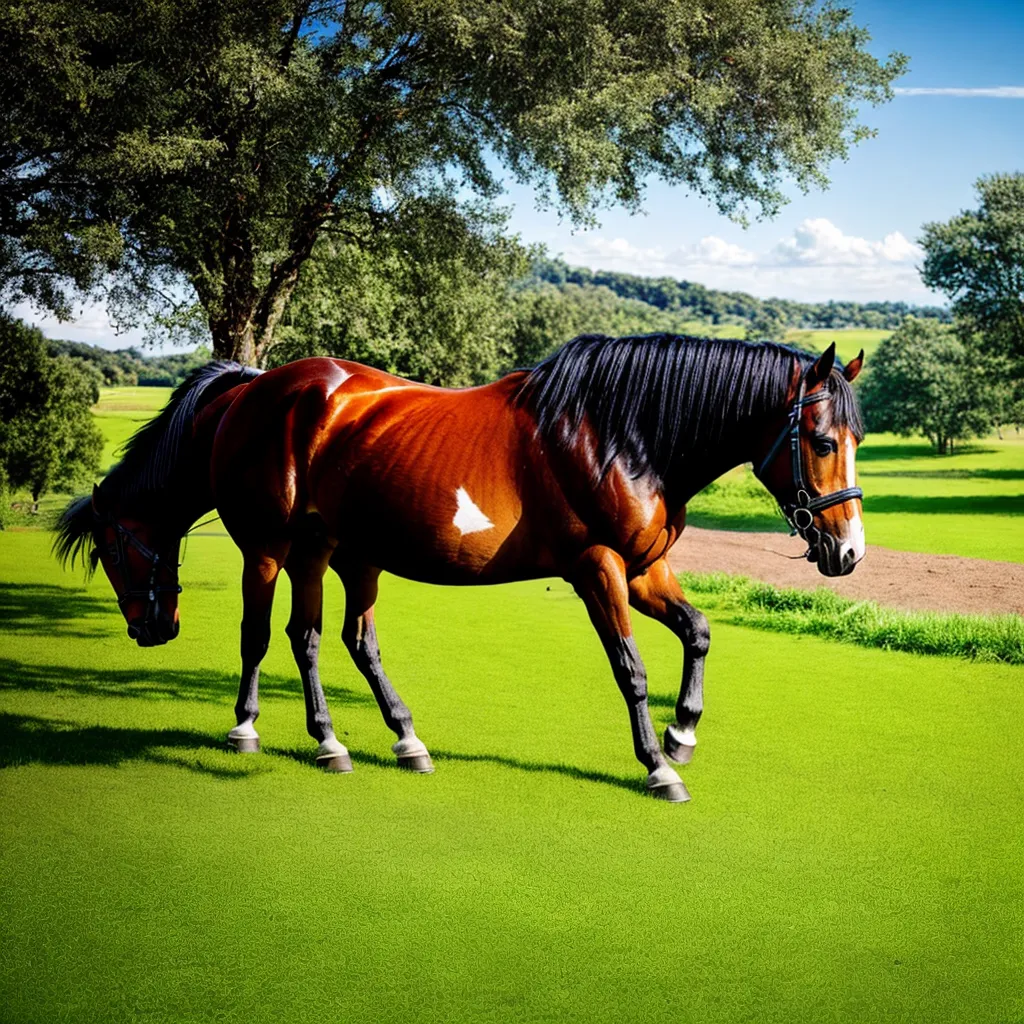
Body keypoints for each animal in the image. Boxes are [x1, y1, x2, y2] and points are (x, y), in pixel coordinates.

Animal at [56, 334, 865, 802]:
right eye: (823, 440)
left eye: (855, 438)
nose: (848, 552)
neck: (617, 431)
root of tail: (256, 388)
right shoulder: (597, 568)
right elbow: (631, 667)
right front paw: (656, 764)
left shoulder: (641, 568)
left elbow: (698, 632)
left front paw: (682, 734)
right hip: (272, 547)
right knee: (266, 636)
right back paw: (253, 731)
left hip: (336, 552)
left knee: (332, 640)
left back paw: (380, 740)